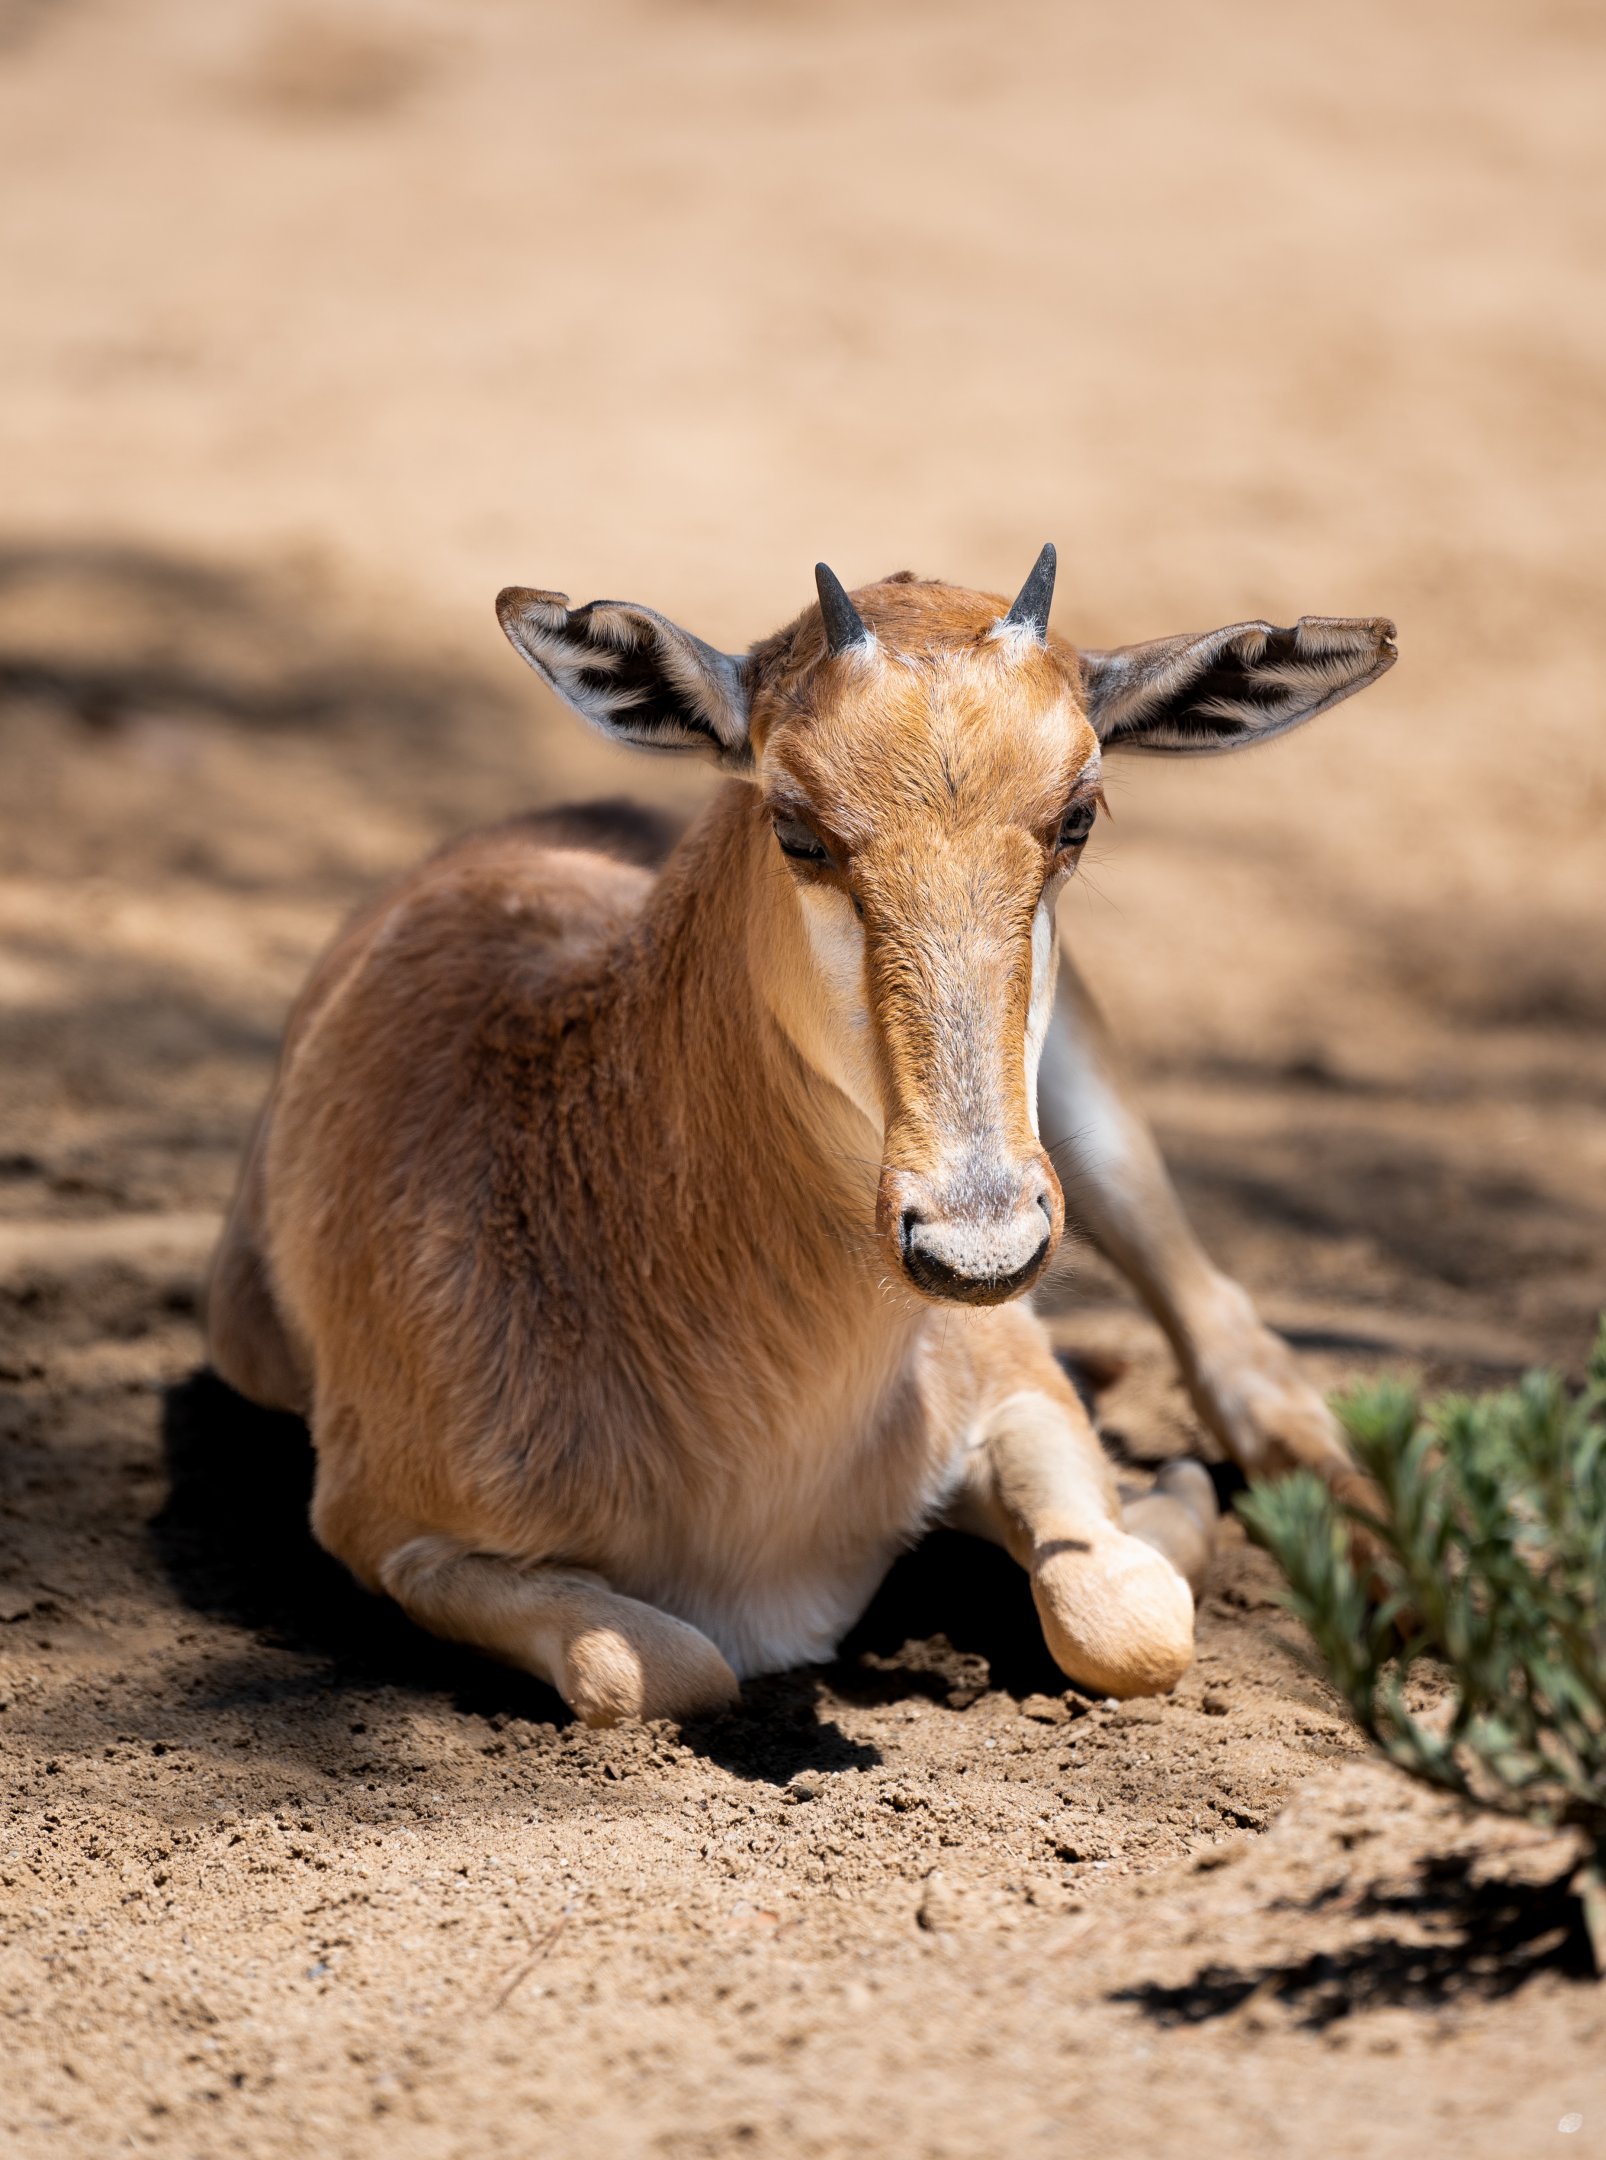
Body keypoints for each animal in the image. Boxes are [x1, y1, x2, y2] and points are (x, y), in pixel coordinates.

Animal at [207, 548, 1396, 1727]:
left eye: (1078, 815)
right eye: (796, 824)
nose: (976, 1246)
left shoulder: (1017, 1384)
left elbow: (1123, 1618)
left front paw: (1162, 1506)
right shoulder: (393, 1537)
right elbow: (658, 1669)